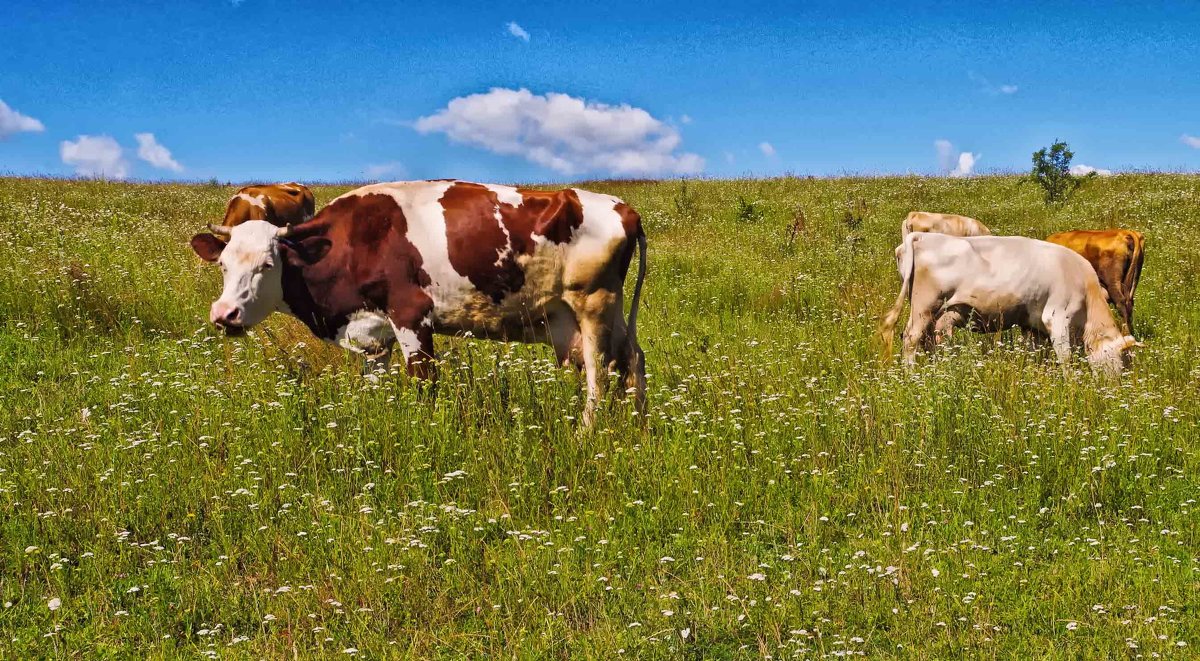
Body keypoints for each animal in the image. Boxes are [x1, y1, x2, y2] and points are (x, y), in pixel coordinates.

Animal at [189, 178, 648, 424]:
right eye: (224, 265)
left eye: (268, 264)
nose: (224, 314)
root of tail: (623, 207)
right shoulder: (373, 337)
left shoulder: (412, 316)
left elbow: (424, 384)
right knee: (633, 359)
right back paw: (640, 425)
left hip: (594, 305)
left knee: (599, 375)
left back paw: (585, 433)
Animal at [878, 232, 1137, 374]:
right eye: (1124, 362)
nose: (1116, 393)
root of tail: (921, 236)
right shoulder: (1057, 318)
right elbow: (1065, 359)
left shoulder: (1032, 325)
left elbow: (1036, 354)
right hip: (925, 306)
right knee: (911, 338)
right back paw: (912, 374)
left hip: (933, 312)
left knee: (927, 340)